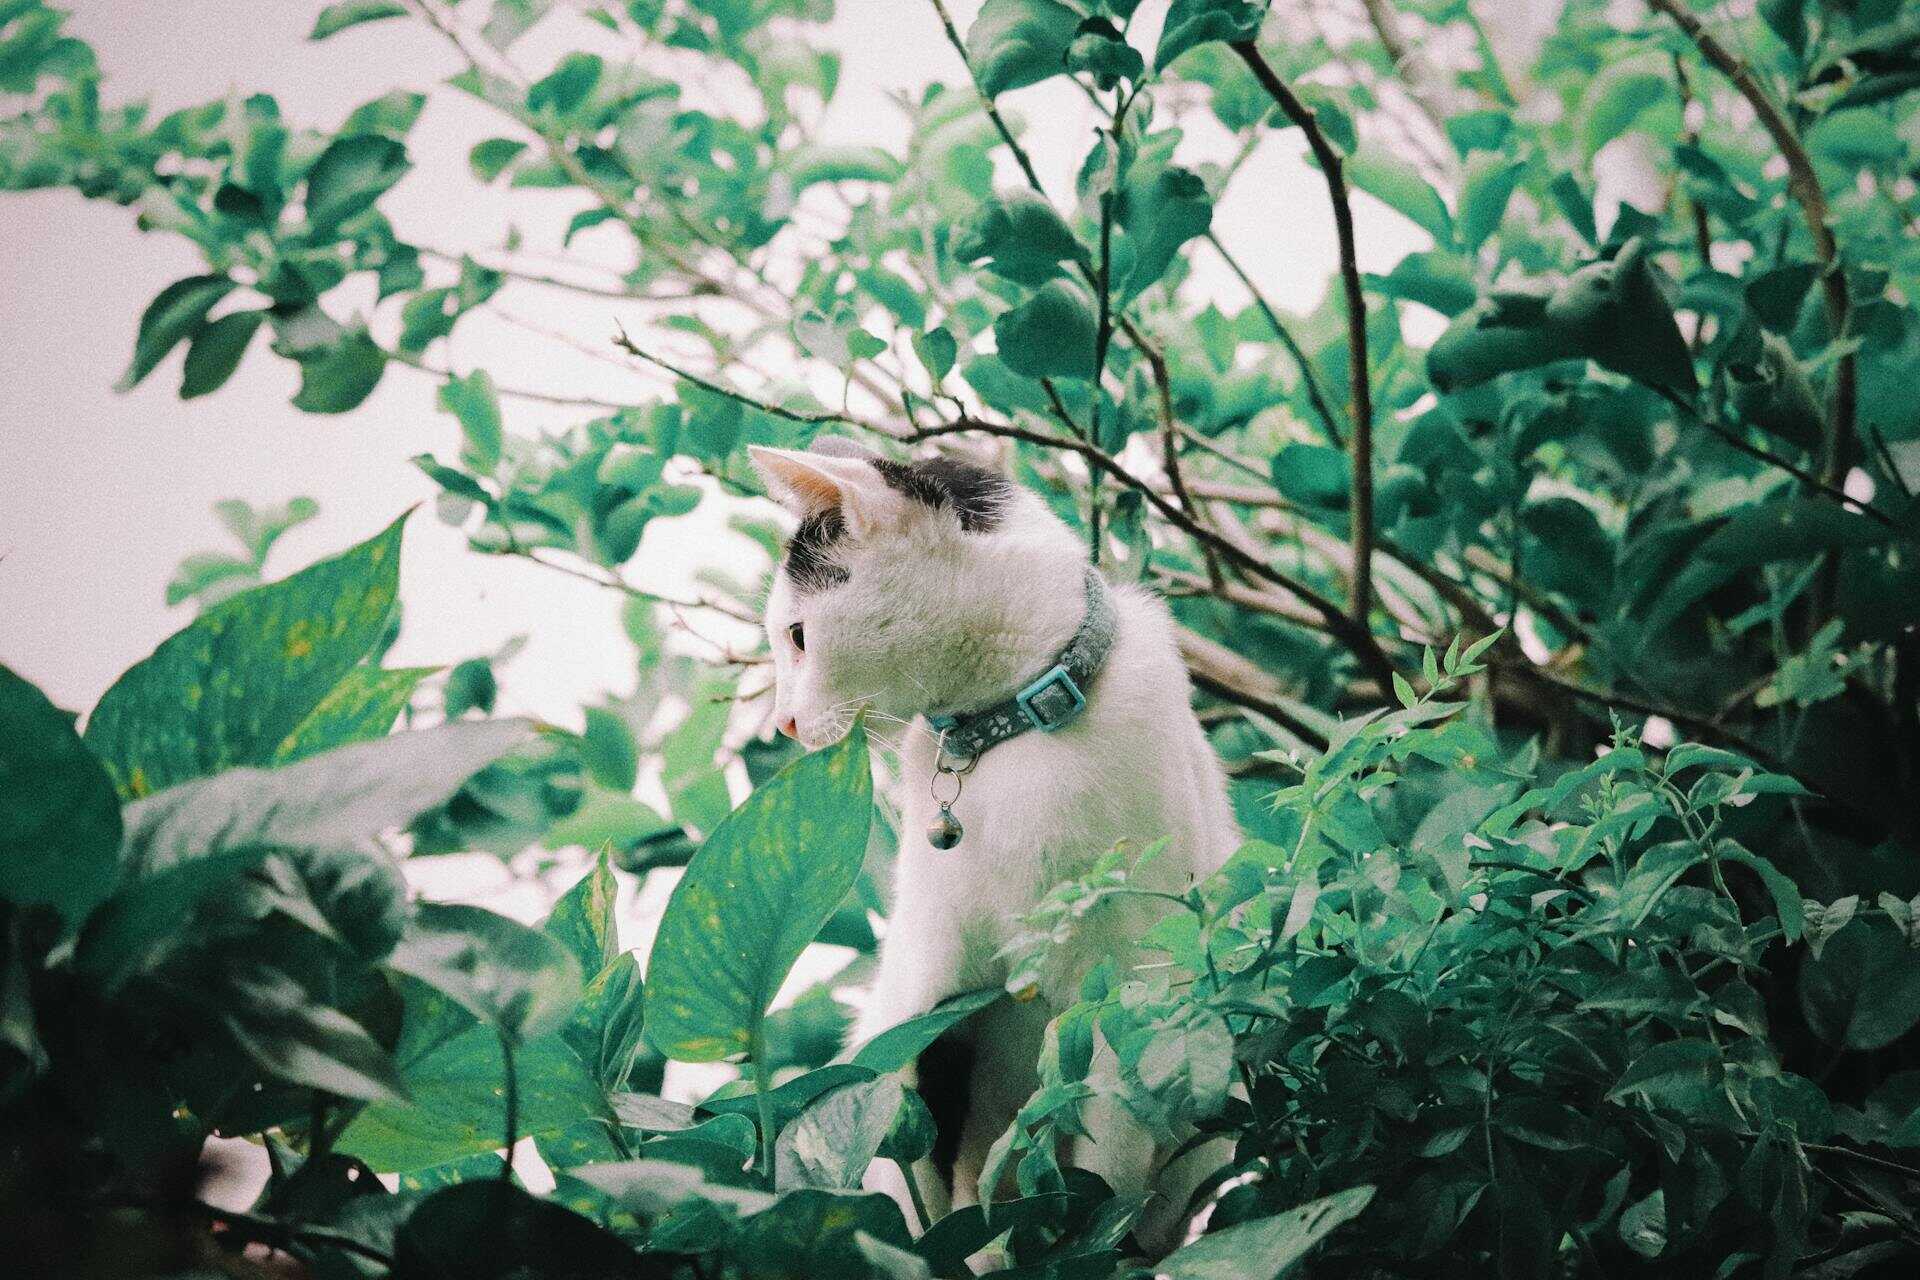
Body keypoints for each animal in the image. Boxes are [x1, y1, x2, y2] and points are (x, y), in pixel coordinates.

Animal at [741, 441, 1236, 1251]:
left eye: (799, 638)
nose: (780, 723)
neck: (1008, 730)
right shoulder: (929, 998)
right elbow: (923, 1160)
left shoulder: (1134, 990)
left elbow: (1111, 1159)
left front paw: (1093, 1234)